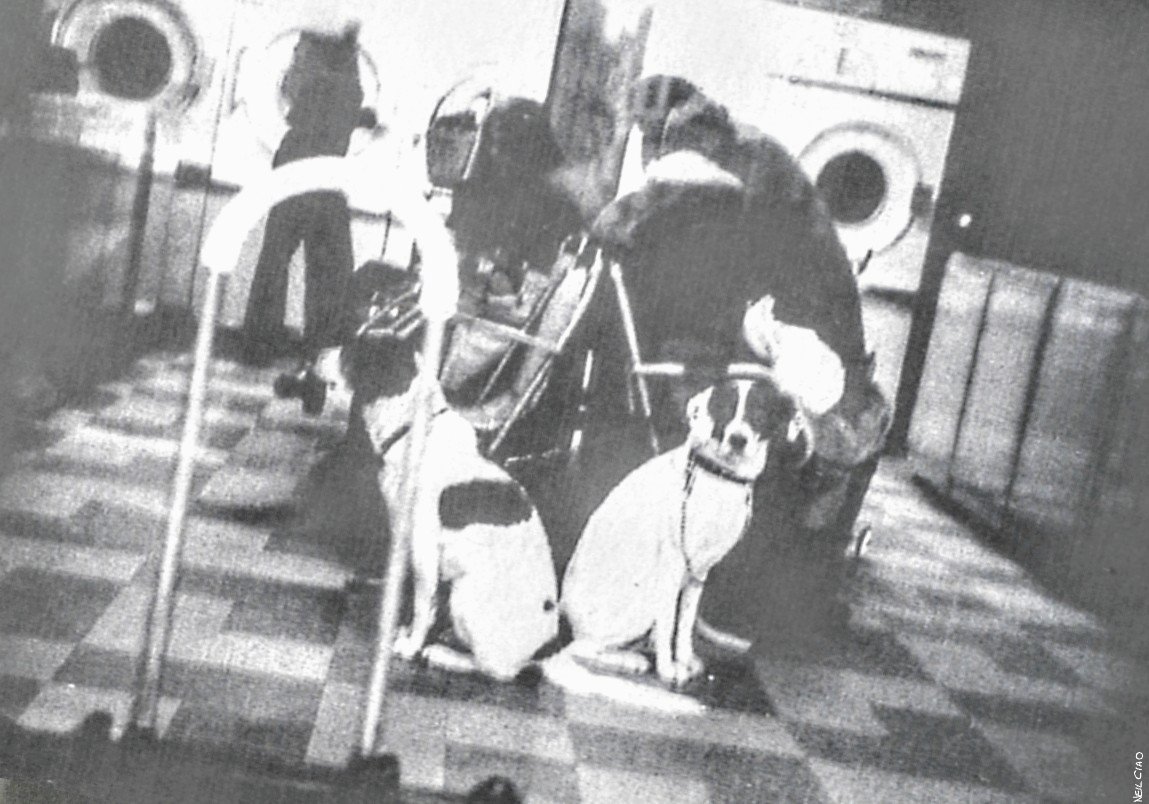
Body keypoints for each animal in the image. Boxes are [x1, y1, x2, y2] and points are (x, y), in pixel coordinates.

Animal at [312, 333, 558, 679]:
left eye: (351, 351)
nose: (315, 354)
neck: (414, 430)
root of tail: (543, 653)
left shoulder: (424, 552)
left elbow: (421, 607)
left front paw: (410, 645)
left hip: (465, 596)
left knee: (494, 670)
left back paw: (443, 654)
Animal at [549, 374, 813, 689]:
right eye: (724, 409)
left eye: (759, 413)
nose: (737, 439)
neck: (719, 477)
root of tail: (562, 610)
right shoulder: (672, 567)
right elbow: (668, 626)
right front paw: (667, 668)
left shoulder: (699, 572)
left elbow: (685, 624)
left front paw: (685, 659)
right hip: (641, 601)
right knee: (579, 647)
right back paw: (629, 659)